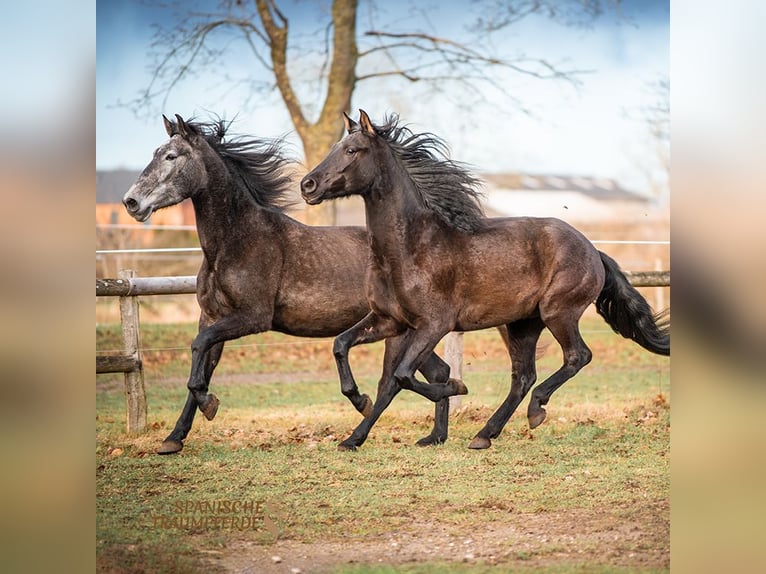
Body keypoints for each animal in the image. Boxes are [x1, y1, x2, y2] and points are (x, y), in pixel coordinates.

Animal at [123, 116, 496, 454]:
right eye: (157, 153)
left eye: (172, 156)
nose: (131, 202)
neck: (236, 241)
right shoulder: (212, 318)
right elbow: (201, 361)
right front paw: (175, 437)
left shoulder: (251, 318)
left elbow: (198, 353)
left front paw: (208, 404)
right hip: (408, 330)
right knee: (437, 371)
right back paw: (435, 435)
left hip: (403, 332)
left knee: (394, 381)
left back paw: (367, 421)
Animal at [300, 110, 672, 452]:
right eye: (336, 147)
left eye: (352, 150)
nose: (308, 185)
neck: (410, 246)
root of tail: (593, 249)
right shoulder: (390, 320)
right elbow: (344, 347)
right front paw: (355, 428)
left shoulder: (434, 323)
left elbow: (402, 375)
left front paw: (456, 388)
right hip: (522, 325)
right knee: (523, 376)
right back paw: (485, 434)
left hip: (558, 313)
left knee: (576, 357)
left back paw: (535, 411)